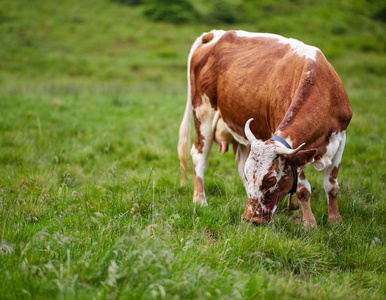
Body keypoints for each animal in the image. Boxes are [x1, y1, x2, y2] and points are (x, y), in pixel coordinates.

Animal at [178, 30, 352, 227]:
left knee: (239, 162)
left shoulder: (341, 137)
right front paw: (310, 224)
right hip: (203, 112)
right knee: (199, 155)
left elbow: (331, 186)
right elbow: (303, 190)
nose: (250, 219)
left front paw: (335, 220)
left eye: (270, 179)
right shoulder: (296, 152)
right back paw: (200, 201)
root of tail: (215, 34)